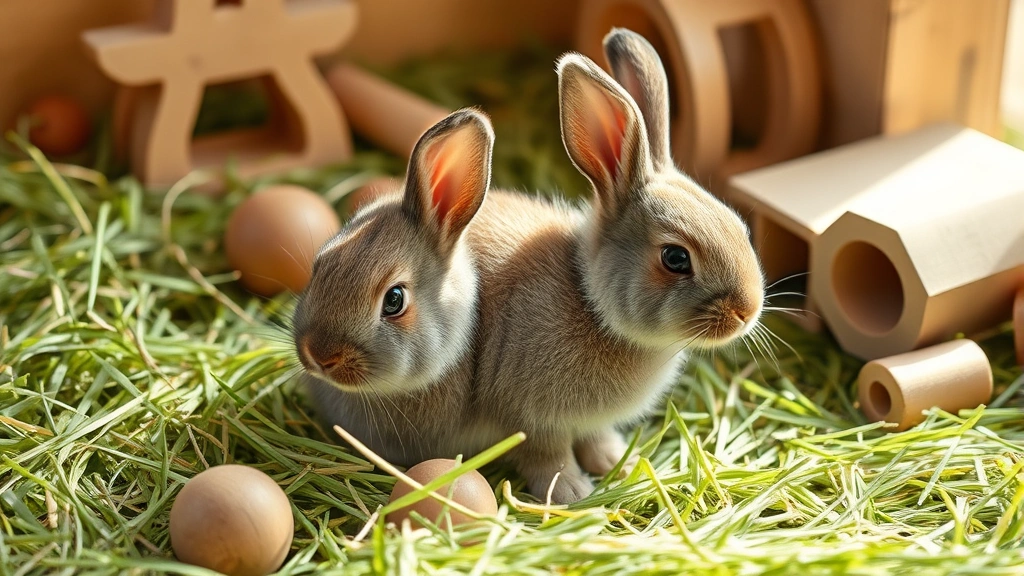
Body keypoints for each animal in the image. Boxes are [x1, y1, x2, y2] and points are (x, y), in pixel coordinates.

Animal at [464, 28, 766, 503]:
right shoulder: (529, 416)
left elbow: (594, 437)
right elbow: (547, 455)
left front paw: (616, 462)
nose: (746, 311)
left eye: (739, 225)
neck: (590, 302)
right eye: (675, 258)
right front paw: (571, 492)